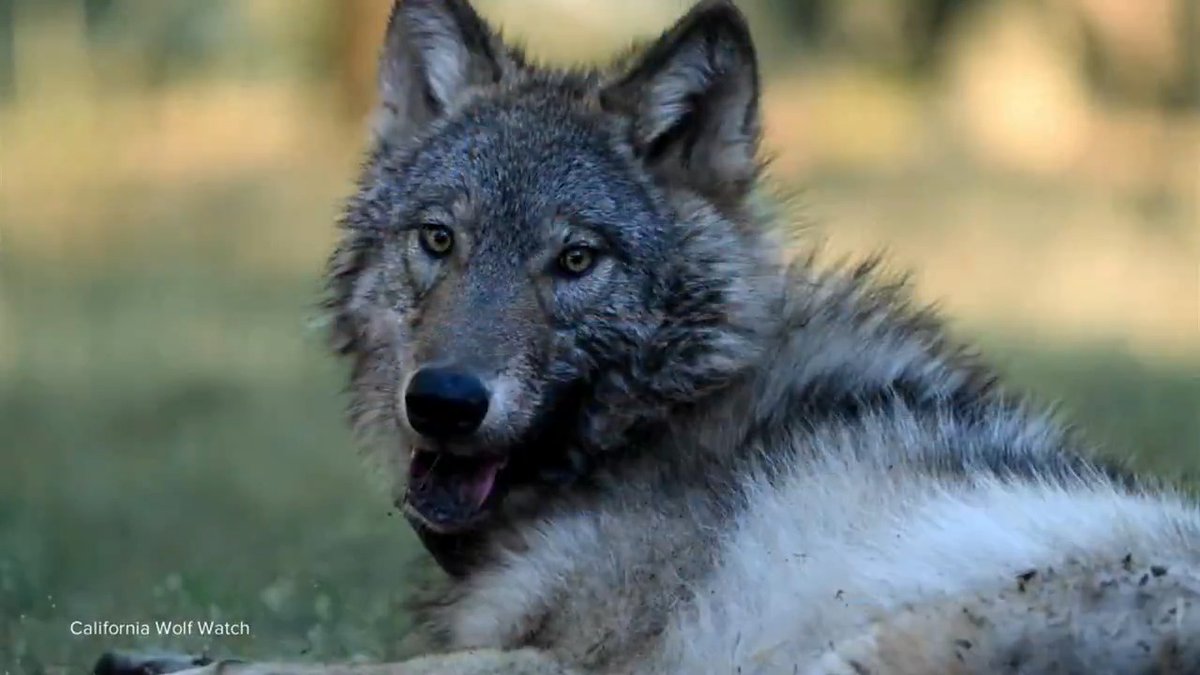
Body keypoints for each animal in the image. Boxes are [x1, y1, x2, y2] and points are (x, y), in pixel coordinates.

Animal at [97, 0, 1200, 673]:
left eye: (576, 261)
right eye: (439, 240)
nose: (444, 402)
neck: (664, 427)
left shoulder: (581, 659)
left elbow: (348, 663)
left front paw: (163, 656)